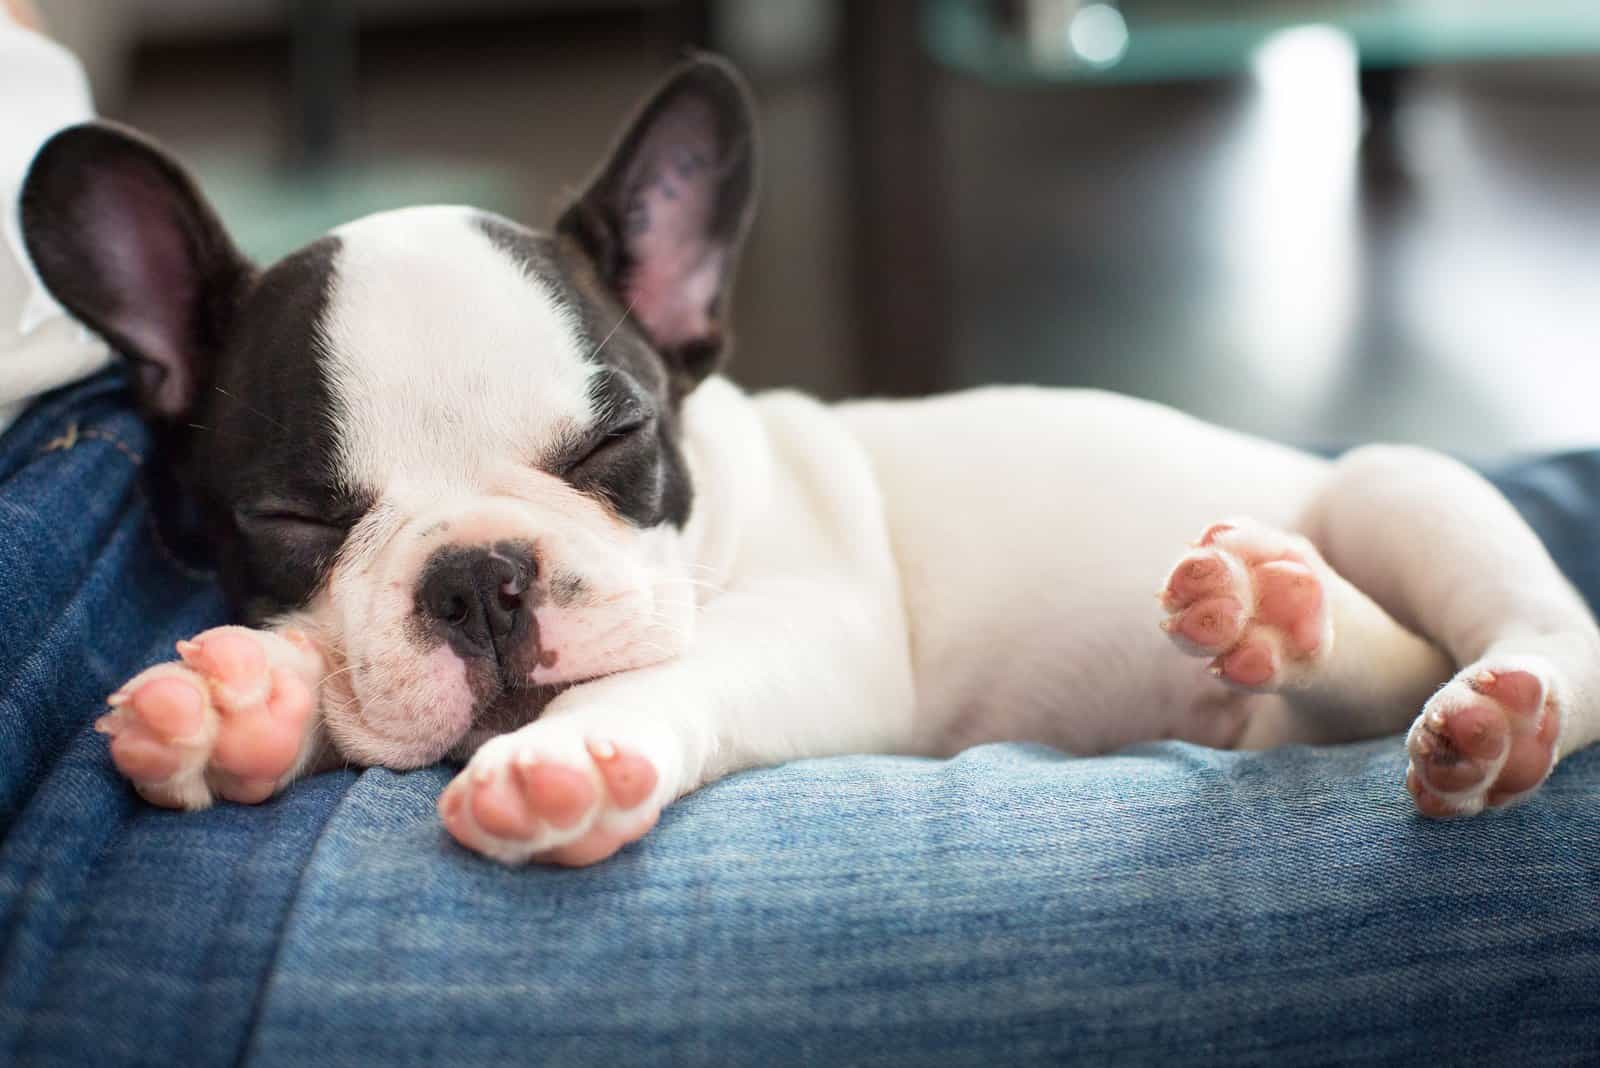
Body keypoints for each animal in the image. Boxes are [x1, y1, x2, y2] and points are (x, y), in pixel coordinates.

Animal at [18, 56, 1593, 869]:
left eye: (618, 442)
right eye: (291, 519)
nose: (477, 580)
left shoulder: (819, 635)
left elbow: (665, 675)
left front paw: (568, 752)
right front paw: (247, 708)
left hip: (1396, 485)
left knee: (1519, 640)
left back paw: (1475, 708)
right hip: (1276, 695)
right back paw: (1271, 609)